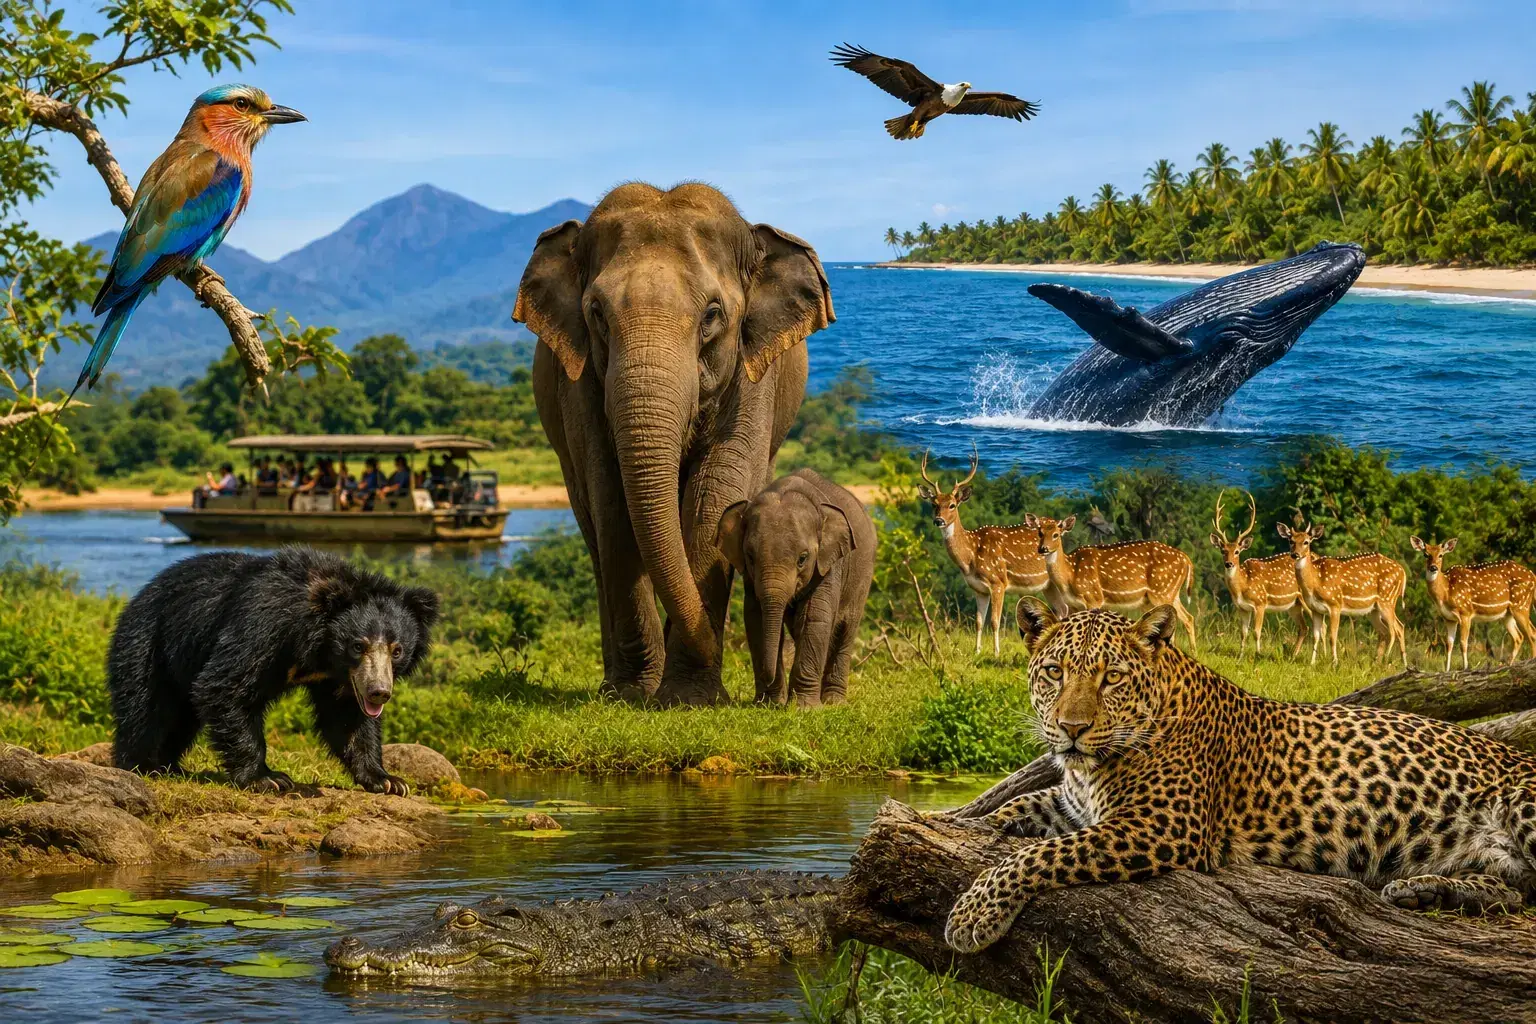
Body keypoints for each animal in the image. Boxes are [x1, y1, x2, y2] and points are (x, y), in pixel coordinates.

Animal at [940, 601, 1536, 955]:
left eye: (1111, 678)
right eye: (1054, 672)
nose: (1071, 728)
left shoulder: (1161, 826)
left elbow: (1040, 854)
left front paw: (973, 914)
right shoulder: (1075, 803)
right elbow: (1019, 809)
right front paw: (976, 825)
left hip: (1521, 801)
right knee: (1517, 890)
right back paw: (1426, 889)